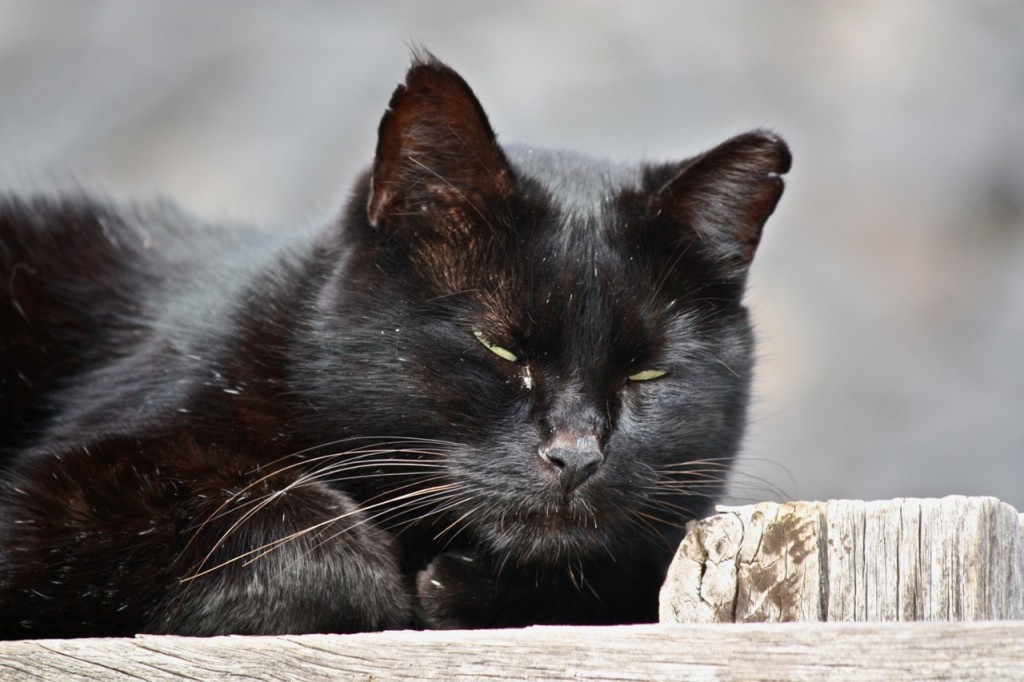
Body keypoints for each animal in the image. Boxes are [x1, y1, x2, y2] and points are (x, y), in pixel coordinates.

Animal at [0, 53, 790, 638]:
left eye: (647, 373)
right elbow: (289, 529)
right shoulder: (56, 490)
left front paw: (467, 587)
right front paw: (379, 579)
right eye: (500, 350)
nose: (575, 456)